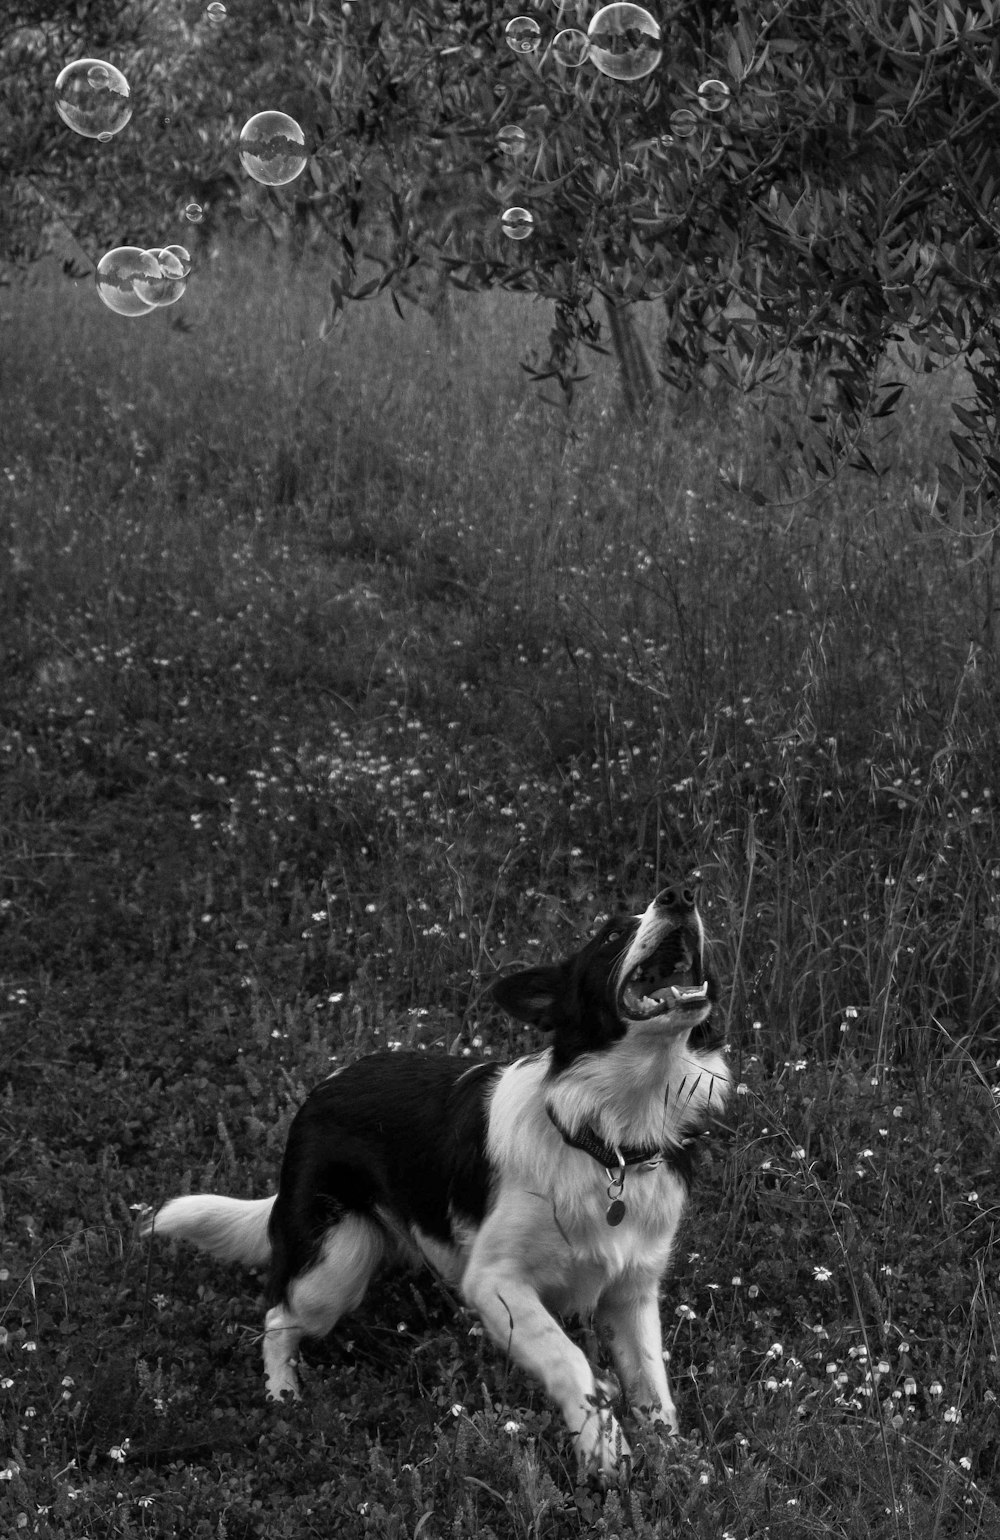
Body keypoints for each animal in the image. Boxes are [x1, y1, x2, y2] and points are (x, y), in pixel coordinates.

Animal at [144, 887, 730, 1472]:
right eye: (611, 935)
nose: (679, 895)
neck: (610, 1137)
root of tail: (320, 1091)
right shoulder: (493, 1281)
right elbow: (568, 1358)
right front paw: (601, 1447)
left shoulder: (632, 1291)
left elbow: (653, 1389)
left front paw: (678, 1464)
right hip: (334, 1265)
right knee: (275, 1316)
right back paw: (282, 1392)